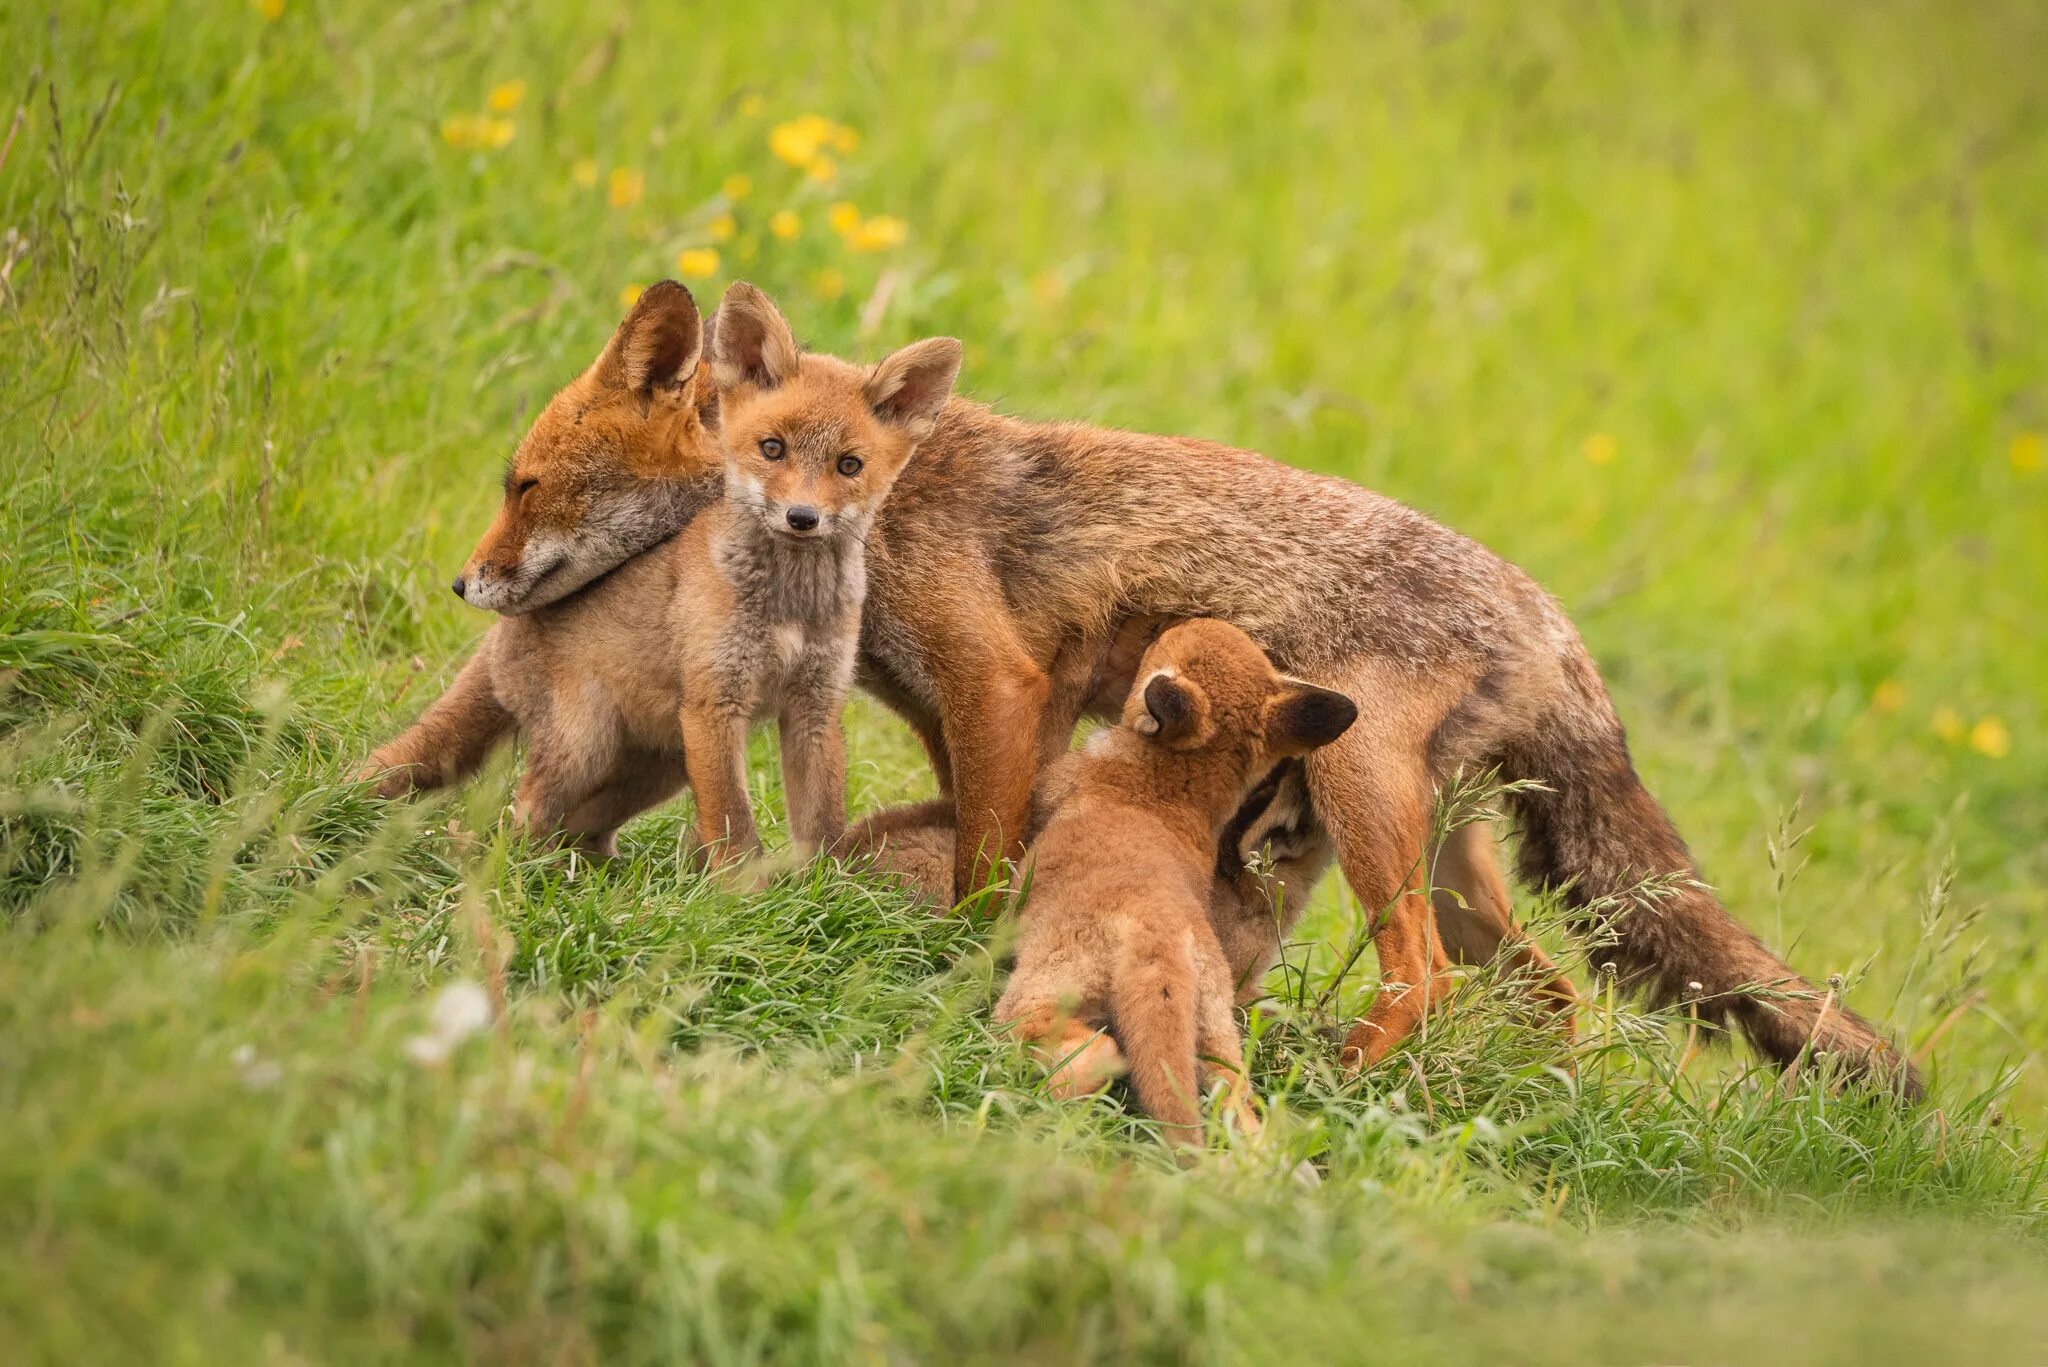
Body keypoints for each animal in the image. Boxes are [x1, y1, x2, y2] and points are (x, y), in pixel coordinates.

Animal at [385, 280, 1916, 1098]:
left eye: (525, 482)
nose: (470, 581)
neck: (883, 508)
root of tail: (1557, 624)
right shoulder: (982, 710)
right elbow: (975, 839)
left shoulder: (995, 680)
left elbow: (987, 867)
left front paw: (960, 969)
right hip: (1451, 847)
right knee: (1547, 991)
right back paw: (1489, 1094)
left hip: (1362, 794)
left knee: (1423, 972)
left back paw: (1347, 1069)